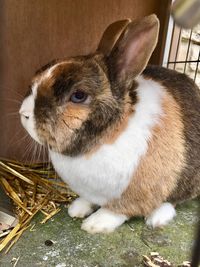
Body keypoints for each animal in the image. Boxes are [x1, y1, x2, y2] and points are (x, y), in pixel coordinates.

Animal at [19, 14, 200, 233]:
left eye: (78, 96)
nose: (23, 114)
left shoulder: (135, 195)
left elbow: (116, 211)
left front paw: (95, 224)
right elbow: (88, 200)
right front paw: (77, 209)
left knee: (174, 200)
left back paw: (156, 218)